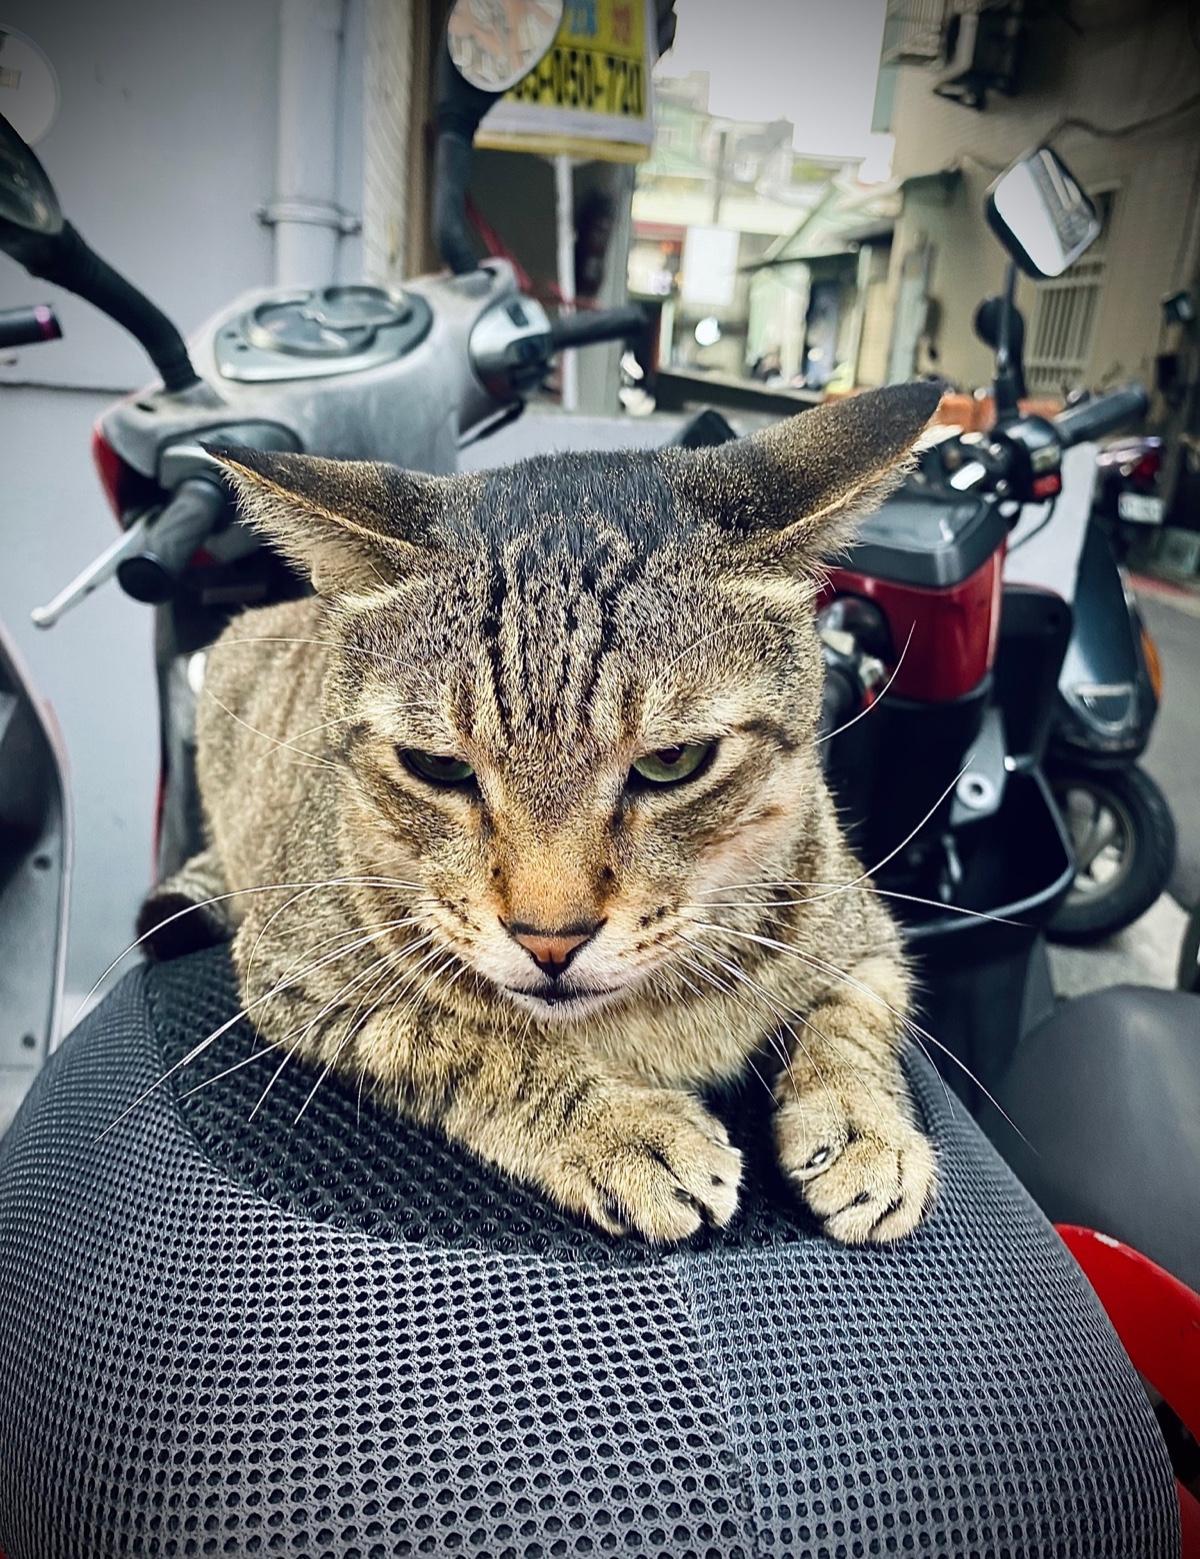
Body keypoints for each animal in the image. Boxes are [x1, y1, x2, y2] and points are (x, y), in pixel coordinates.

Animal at [149, 381, 942, 1246]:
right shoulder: (296, 979)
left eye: (672, 760)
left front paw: (866, 1128)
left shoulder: (866, 931)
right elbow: (467, 1041)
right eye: (438, 766)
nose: (549, 939)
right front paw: (626, 1128)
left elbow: (856, 1016)